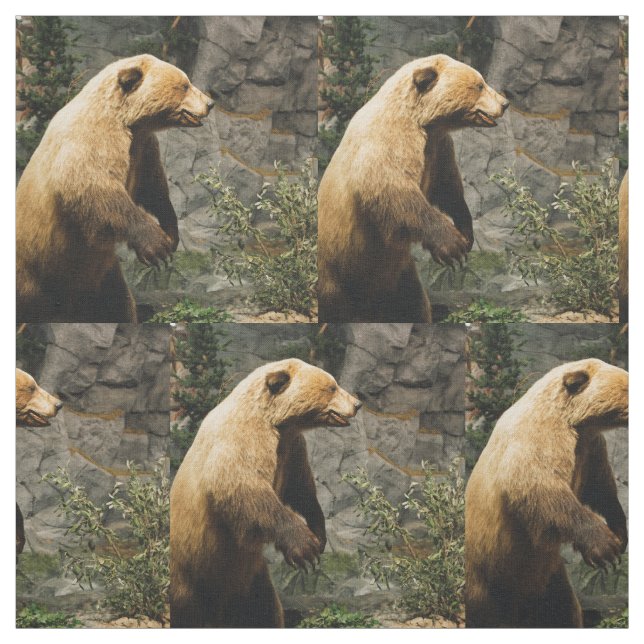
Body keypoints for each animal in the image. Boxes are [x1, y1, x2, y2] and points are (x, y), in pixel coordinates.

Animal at [16, 54, 214, 323]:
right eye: (184, 85)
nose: (210, 103)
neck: (128, 121)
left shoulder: (143, 149)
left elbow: (153, 188)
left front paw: (171, 234)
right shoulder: (91, 140)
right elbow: (95, 189)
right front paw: (156, 246)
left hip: (100, 278)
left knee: (116, 304)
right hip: (33, 274)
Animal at [170, 358, 362, 628]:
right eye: (332, 387)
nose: (357, 404)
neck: (277, 421)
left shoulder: (291, 448)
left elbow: (301, 488)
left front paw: (318, 533)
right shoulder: (243, 439)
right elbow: (245, 489)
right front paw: (305, 547)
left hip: (250, 579)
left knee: (263, 610)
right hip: (191, 573)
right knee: (188, 611)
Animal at [317, 54, 509, 323]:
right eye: (479, 85)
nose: (505, 103)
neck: (424, 122)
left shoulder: (438, 149)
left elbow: (448, 188)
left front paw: (466, 232)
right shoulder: (388, 142)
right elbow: (394, 192)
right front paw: (453, 245)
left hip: (399, 275)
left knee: (412, 303)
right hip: (338, 271)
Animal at [465, 358, 628, 628]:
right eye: (628, 388)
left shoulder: (590, 448)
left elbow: (600, 488)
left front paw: (619, 533)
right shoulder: (538, 438)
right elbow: (541, 488)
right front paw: (604, 546)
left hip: (549, 579)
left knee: (561, 611)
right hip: (489, 576)